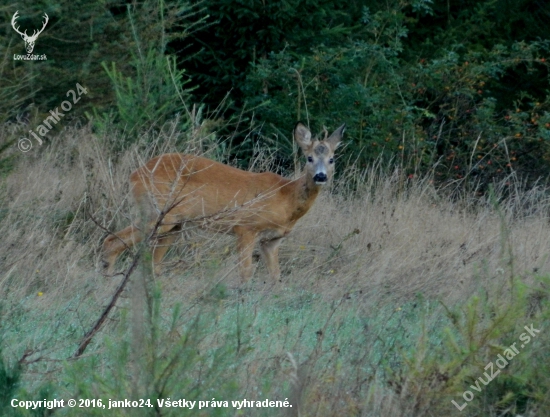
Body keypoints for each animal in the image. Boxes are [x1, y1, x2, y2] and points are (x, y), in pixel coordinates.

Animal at [102, 122, 348, 282]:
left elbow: (276, 276)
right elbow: (246, 273)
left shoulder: (272, 240)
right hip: (157, 213)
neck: (285, 197)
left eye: (332, 159)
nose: (321, 176)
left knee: (153, 261)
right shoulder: (246, 228)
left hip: (173, 224)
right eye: (309, 158)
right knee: (112, 241)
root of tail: (135, 174)